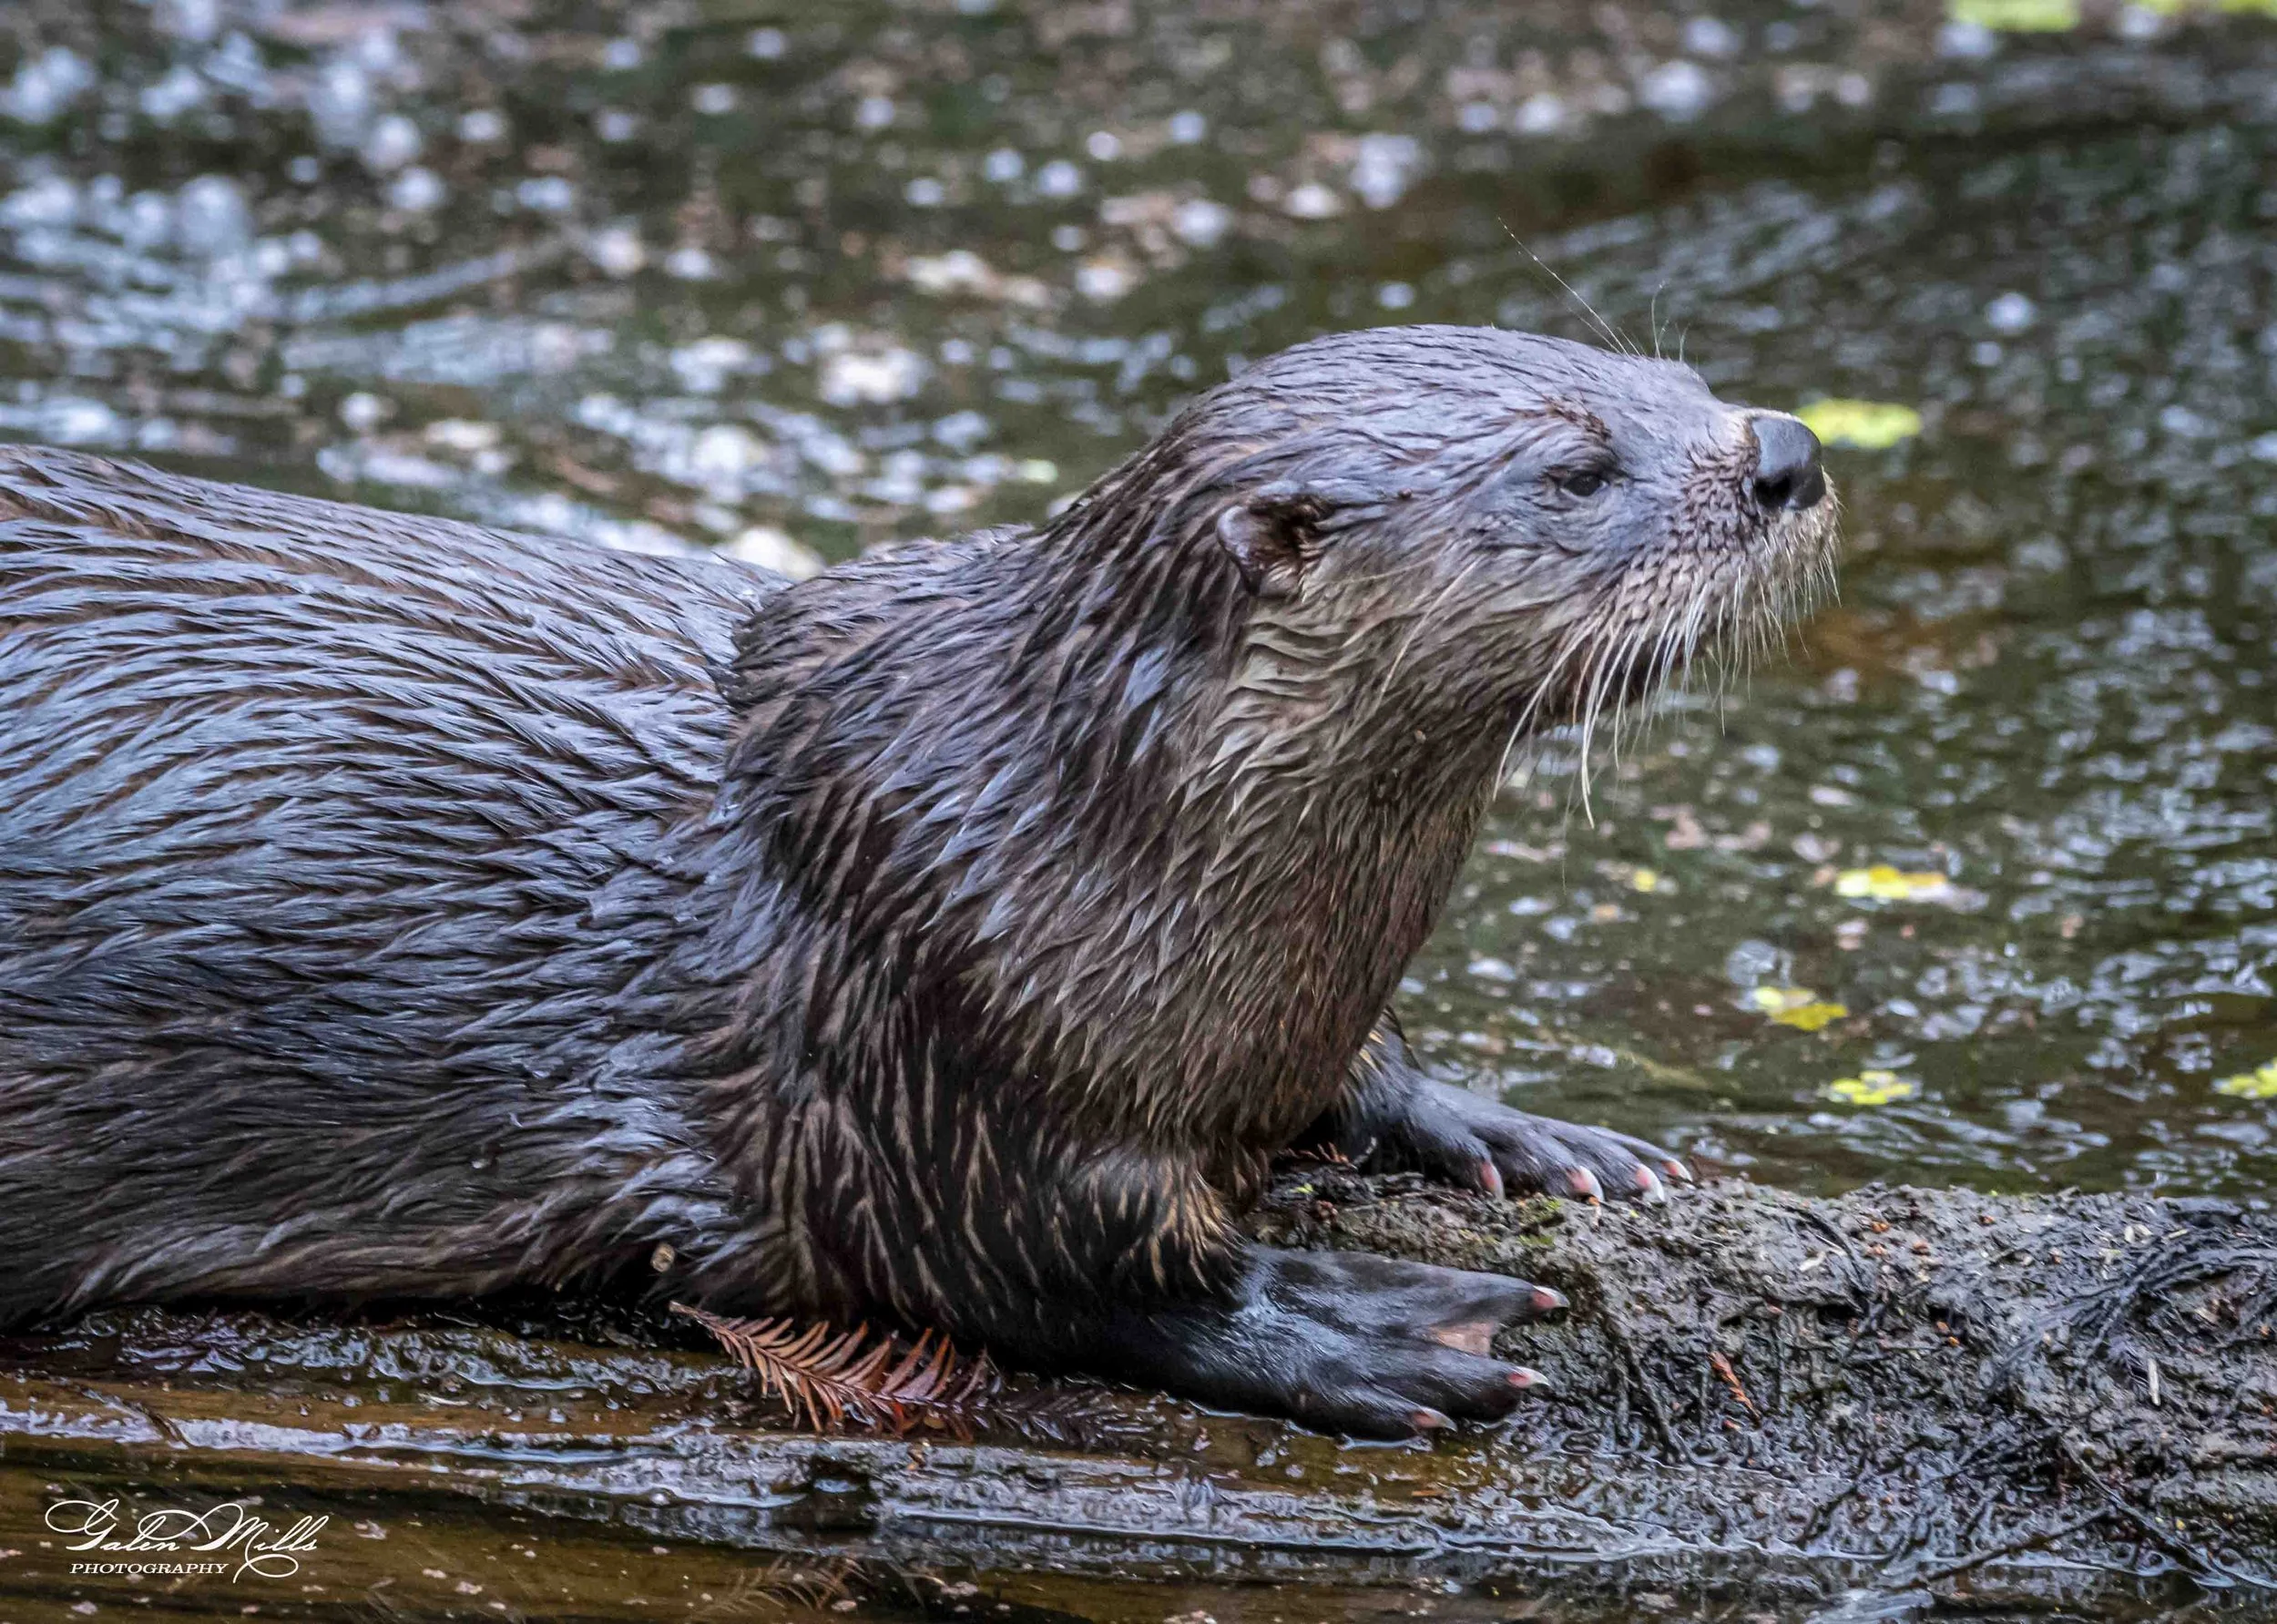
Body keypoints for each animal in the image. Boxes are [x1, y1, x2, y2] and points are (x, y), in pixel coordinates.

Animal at [0, 325, 1835, 1437]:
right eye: (1573, 467)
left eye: (1666, 372)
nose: (1790, 449)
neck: (1052, 827)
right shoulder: (925, 1024)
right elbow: (1067, 1264)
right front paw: (1359, 1324)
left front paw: (1517, 1128)